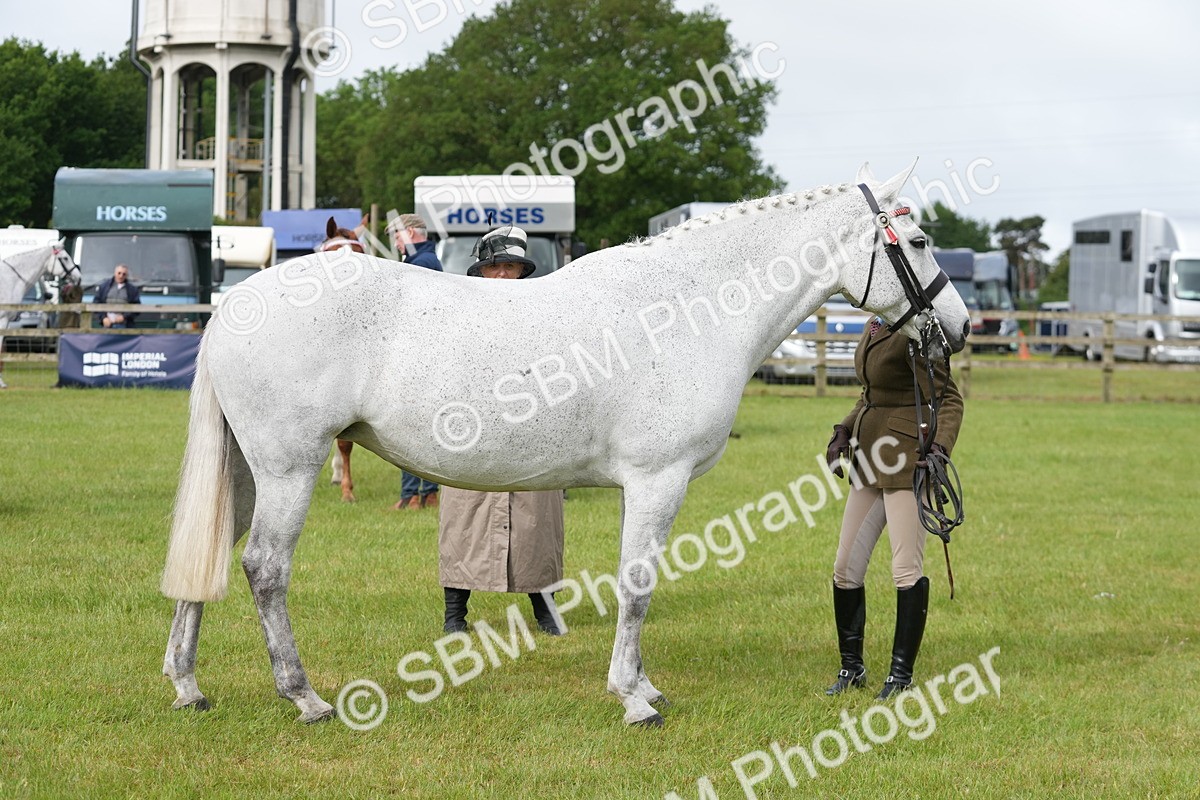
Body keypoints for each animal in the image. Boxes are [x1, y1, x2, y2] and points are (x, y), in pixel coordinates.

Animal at [160, 162, 971, 727]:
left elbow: (634, 585)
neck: (687, 308)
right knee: (264, 569)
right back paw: (305, 698)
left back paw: (188, 686)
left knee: (211, 556)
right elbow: (638, 585)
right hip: (289, 469)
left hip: (245, 471)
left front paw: (641, 684)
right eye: (919, 241)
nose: (958, 329)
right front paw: (634, 700)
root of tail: (235, 304)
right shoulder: (657, 479)